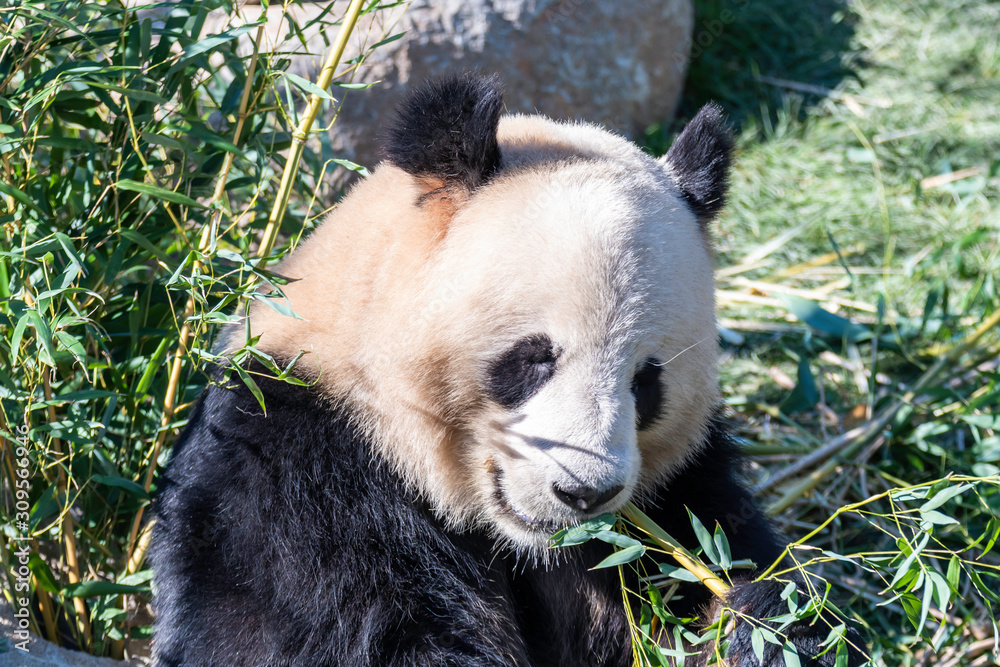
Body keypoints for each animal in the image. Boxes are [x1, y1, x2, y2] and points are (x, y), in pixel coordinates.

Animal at [150, 73, 866, 666]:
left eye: (646, 381)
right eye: (532, 359)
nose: (584, 493)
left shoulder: (677, 492)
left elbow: (716, 561)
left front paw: (763, 626)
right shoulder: (300, 475)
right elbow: (340, 629)